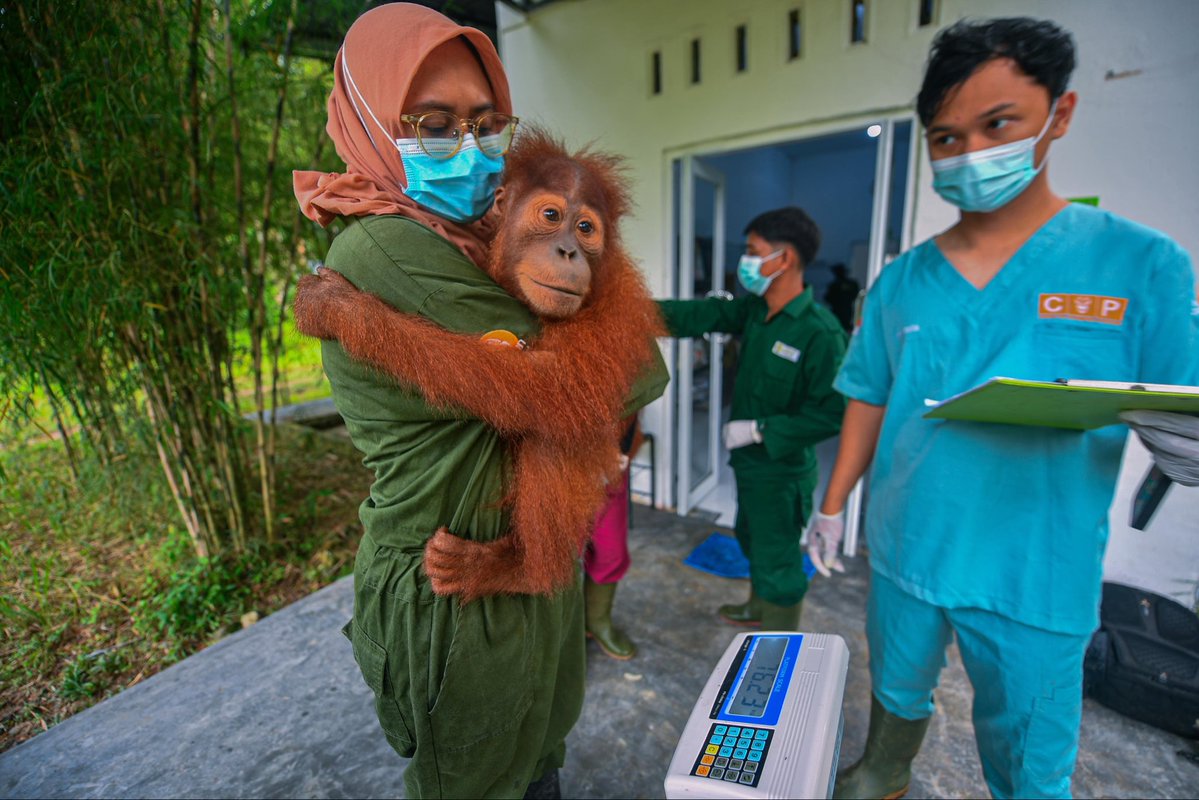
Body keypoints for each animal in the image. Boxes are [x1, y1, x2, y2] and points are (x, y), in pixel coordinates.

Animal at [293, 130, 666, 604]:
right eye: (551, 215)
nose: (568, 251)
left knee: (557, 424)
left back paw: (518, 570)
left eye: (586, 229)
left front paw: (341, 309)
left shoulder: (616, 308)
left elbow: (555, 383)